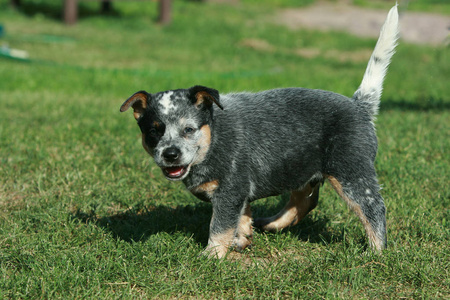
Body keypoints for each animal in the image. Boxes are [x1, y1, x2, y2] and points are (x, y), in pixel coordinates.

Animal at [120, 4, 400, 258]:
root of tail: (359, 105)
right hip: (300, 167)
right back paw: (272, 223)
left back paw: (375, 251)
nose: (170, 154)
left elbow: (220, 224)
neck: (213, 138)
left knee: (373, 206)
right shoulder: (239, 192)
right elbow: (241, 216)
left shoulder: (230, 189)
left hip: (350, 170)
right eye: (154, 132)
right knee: (305, 201)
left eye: (189, 129)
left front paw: (211, 255)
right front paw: (242, 239)